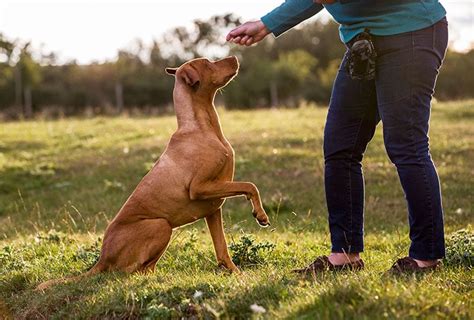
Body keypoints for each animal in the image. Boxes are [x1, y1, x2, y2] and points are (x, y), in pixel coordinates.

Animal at [37, 57, 270, 290]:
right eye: (207, 63)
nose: (235, 57)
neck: (202, 128)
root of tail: (102, 258)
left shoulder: (213, 207)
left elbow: (222, 248)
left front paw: (235, 273)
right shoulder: (199, 188)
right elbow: (250, 185)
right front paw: (260, 214)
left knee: (145, 268)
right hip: (161, 225)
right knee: (128, 272)